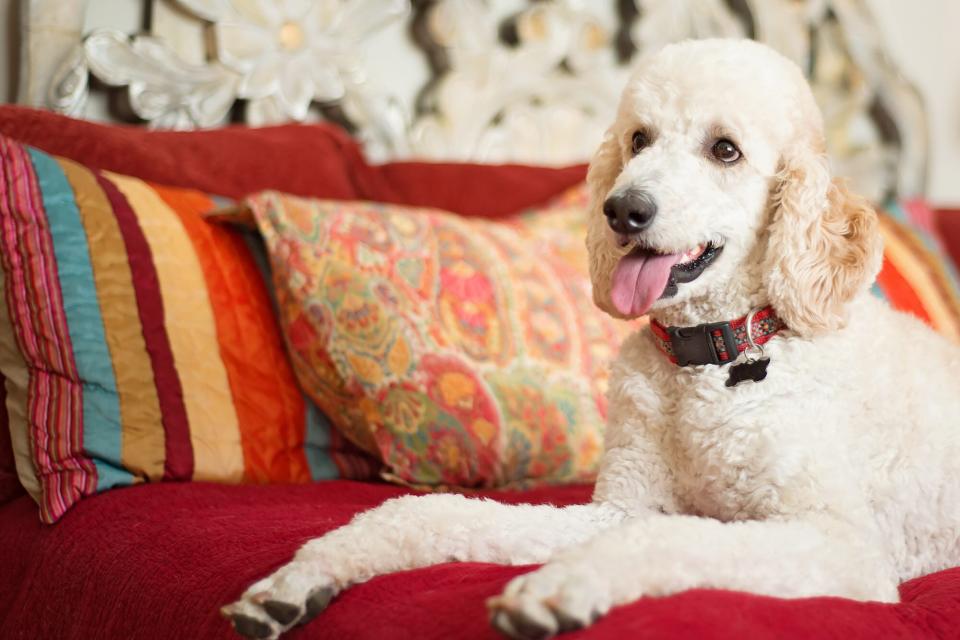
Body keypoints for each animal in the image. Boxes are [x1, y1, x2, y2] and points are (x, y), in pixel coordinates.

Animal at [223, 40, 960, 640]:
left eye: (724, 149)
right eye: (638, 139)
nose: (623, 210)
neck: (712, 360)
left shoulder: (839, 542)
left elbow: (672, 537)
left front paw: (557, 588)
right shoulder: (621, 507)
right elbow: (435, 512)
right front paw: (307, 574)